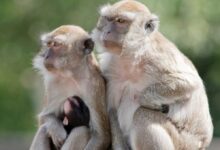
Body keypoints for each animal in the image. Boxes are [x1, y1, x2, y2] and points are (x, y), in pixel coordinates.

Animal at [92, 0, 213, 149]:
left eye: (120, 21)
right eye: (107, 19)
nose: (107, 31)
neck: (132, 57)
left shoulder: (158, 57)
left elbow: (189, 82)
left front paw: (145, 99)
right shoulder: (110, 68)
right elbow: (112, 111)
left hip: (184, 143)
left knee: (142, 115)